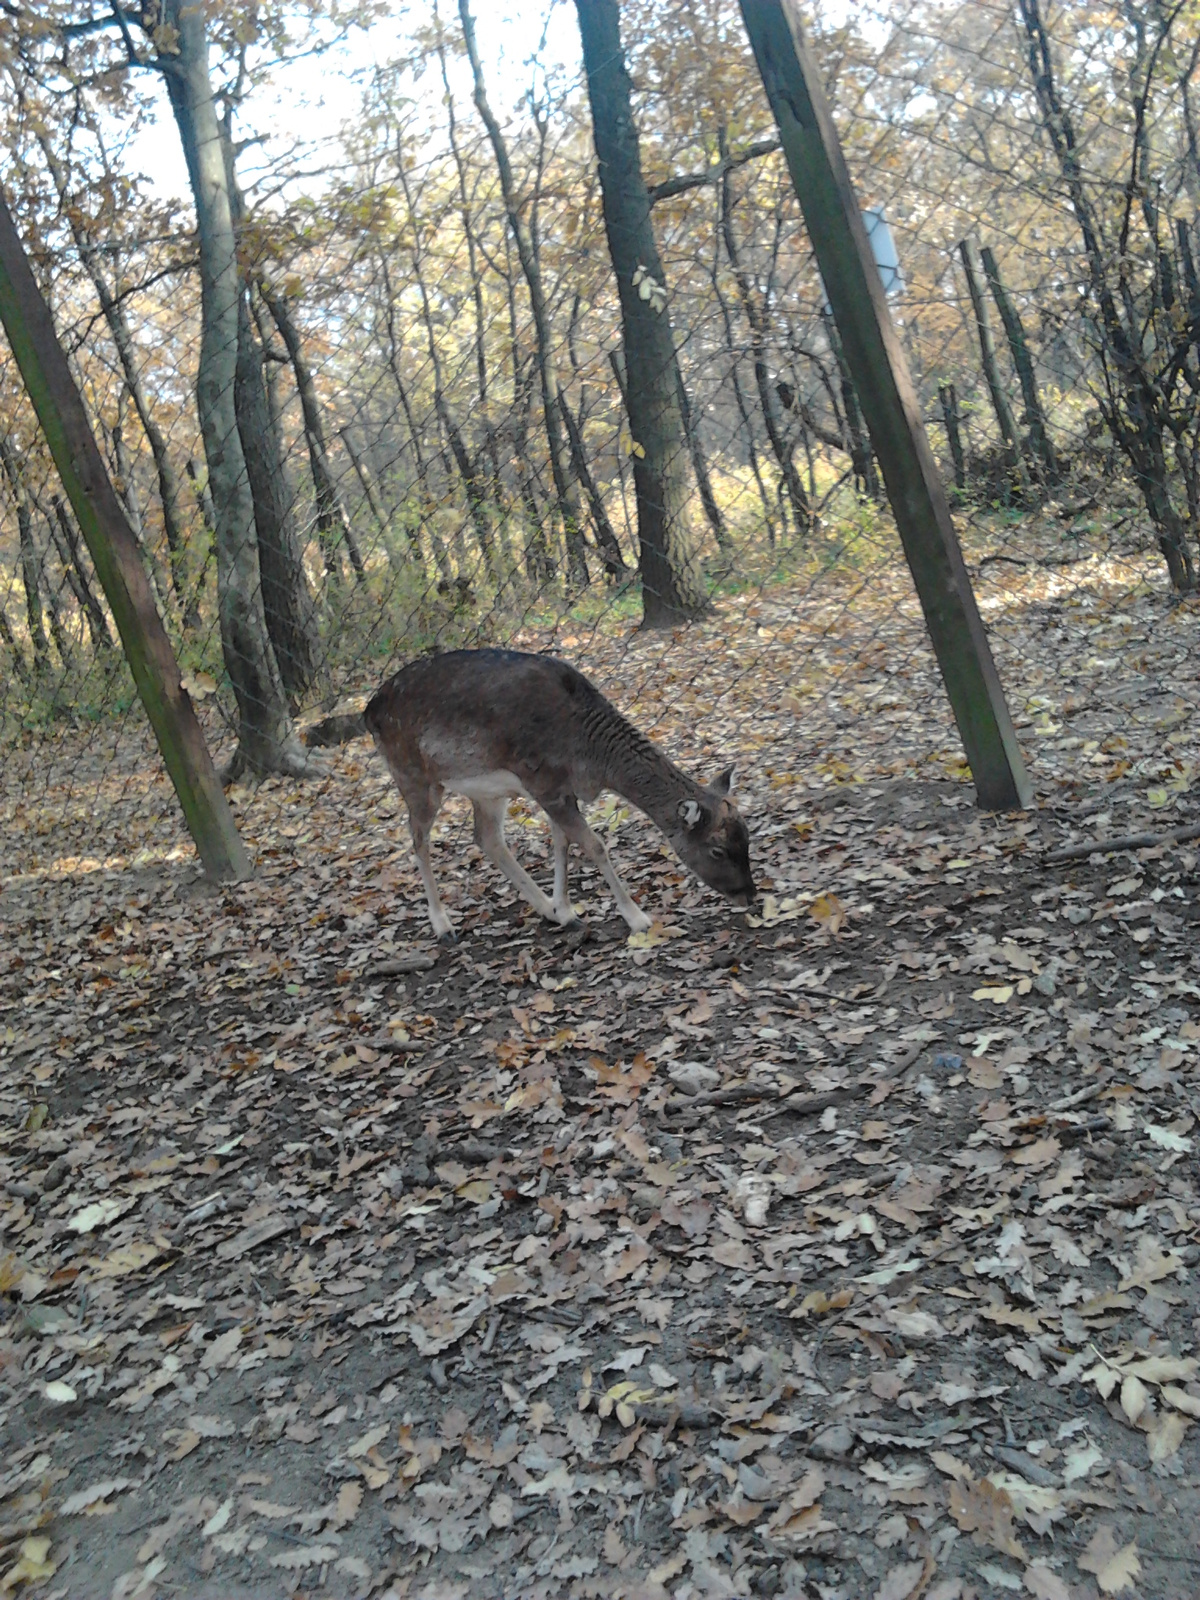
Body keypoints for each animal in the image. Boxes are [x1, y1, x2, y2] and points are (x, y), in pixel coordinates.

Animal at [364, 649, 752, 940]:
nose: (749, 894)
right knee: (418, 839)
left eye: (747, 836)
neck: (588, 753)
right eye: (717, 850)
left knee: (487, 836)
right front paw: (637, 918)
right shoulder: (544, 783)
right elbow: (594, 845)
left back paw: (545, 910)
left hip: (487, 791)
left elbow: (562, 844)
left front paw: (565, 910)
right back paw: (443, 925)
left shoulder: (558, 789)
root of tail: (368, 711)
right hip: (413, 776)